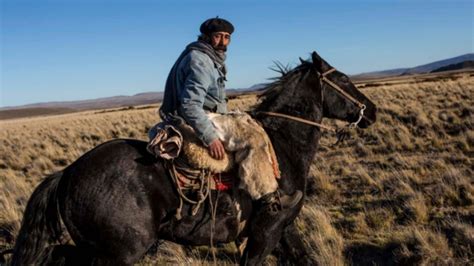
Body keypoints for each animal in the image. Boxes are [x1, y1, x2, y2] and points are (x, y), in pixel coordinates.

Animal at [8, 51, 378, 264]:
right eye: (344, 78)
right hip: (121, 252)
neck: (283, 145)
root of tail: (69, 173)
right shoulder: (267, 231)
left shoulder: (283, 229)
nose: (371, 110)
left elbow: (304, 257)